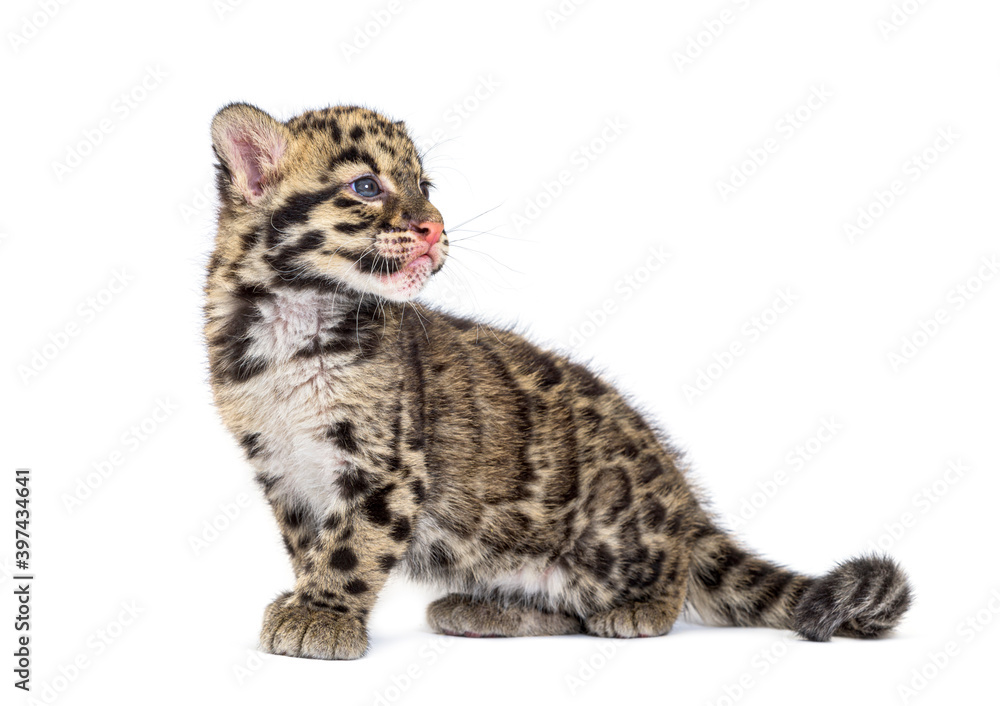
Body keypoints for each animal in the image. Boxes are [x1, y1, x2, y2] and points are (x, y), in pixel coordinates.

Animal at [203, 102, 912, 659]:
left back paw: (636, 611)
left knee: (665, 577)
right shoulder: (282, 465)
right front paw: (309, 600)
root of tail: (685, 503)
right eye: (366, 186)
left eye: (426, 185)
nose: (435, 227)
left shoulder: (385, 463)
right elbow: (312, 543)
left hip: (612, 535)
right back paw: (479, 610)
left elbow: (354, 546)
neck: (289, 318)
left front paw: (322, 615)